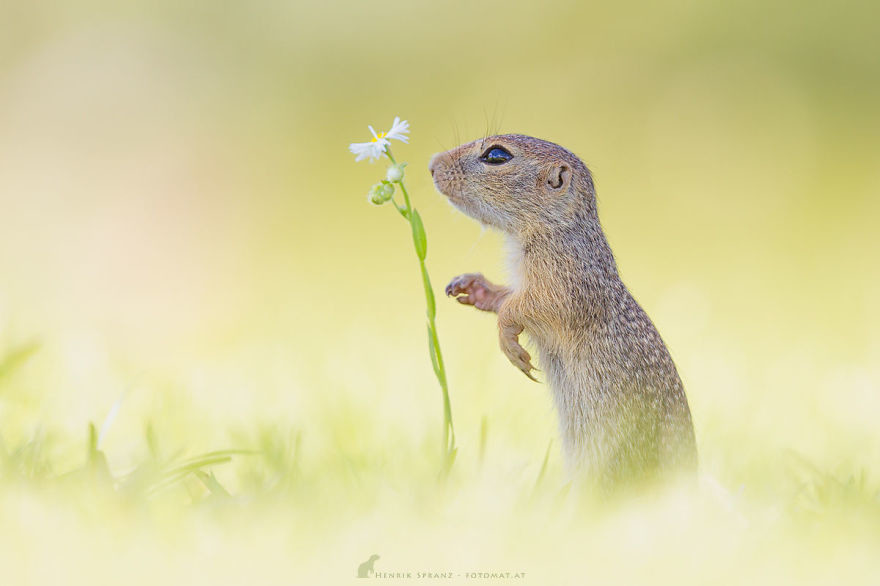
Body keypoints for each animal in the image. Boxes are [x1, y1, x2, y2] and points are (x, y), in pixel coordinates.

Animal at [430, 135, 696, 486]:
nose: (432, 164)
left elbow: (527, 306)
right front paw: (474, 287)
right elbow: (507, 298)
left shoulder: (562, 279)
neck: (554, 228)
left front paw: (509, 342)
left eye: (496, 155)